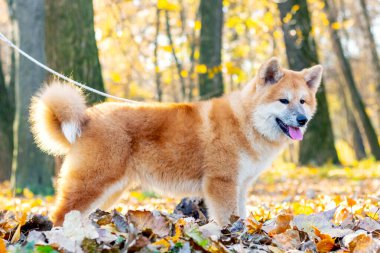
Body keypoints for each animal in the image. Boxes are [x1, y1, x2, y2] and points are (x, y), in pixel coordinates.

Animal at [30, 57, 324, 225]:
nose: (302, 120)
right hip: (94, 182)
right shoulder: (221, 183)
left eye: (302, 101)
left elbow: (239, 215)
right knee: (59, 215)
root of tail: (87, 117)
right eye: (283, 101)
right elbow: (227, 219)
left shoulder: (240, 185)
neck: (245, 121)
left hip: (110, 190)